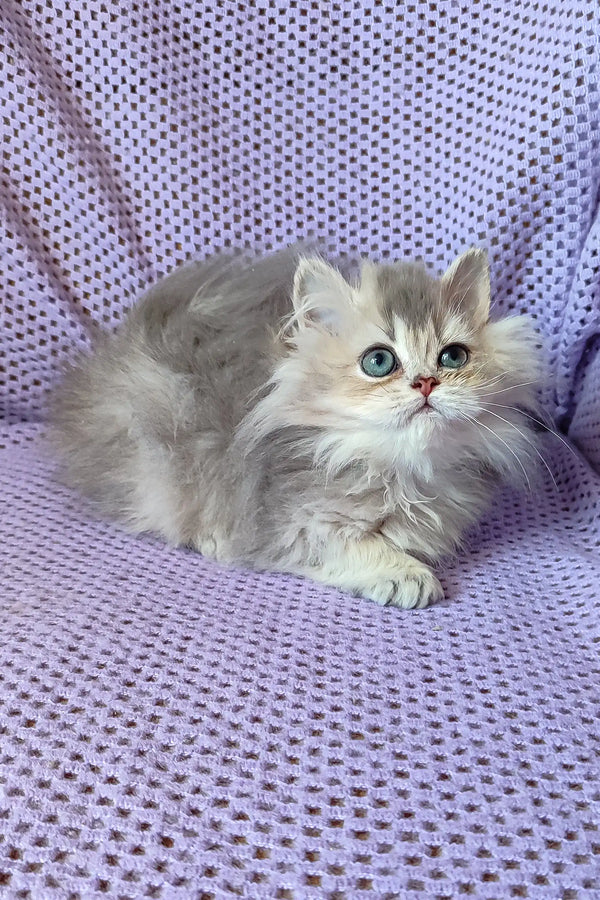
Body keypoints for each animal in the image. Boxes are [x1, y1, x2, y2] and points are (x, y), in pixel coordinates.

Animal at [49, 250, 540, 608]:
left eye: (453, 357)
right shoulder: (295, 524)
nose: (426, 382)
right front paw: (405, 574)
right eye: (379, 361)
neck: (400, 468)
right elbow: (358, 545)